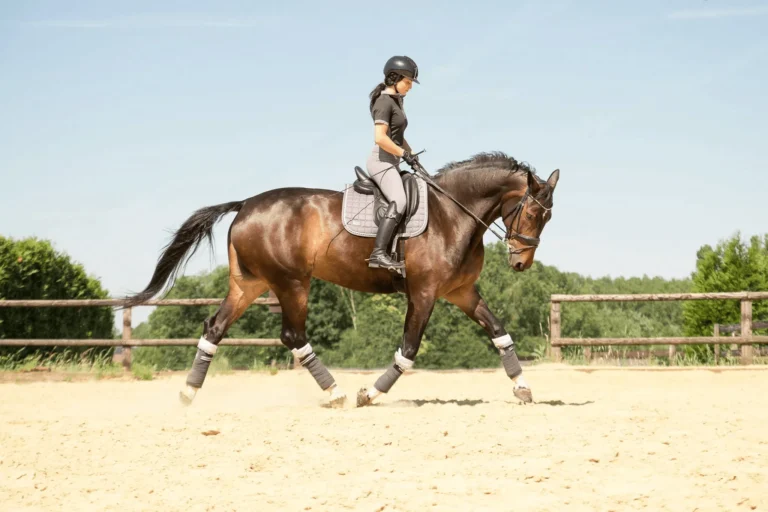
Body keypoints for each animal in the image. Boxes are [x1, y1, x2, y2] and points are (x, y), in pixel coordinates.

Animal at [124, 152, 559, 408]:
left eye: (547, 217)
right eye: (532, 213)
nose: (521, 263)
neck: (452, 214)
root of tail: (245, 204)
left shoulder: (461, 292)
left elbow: (499, 331)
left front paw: (522, 388)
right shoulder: (423, 293)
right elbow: (409, 349)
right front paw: (370, 392)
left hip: (250, 284)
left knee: (215, 327)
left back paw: (188, 391)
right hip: (291, 283)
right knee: (292, 335)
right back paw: (337, 391)